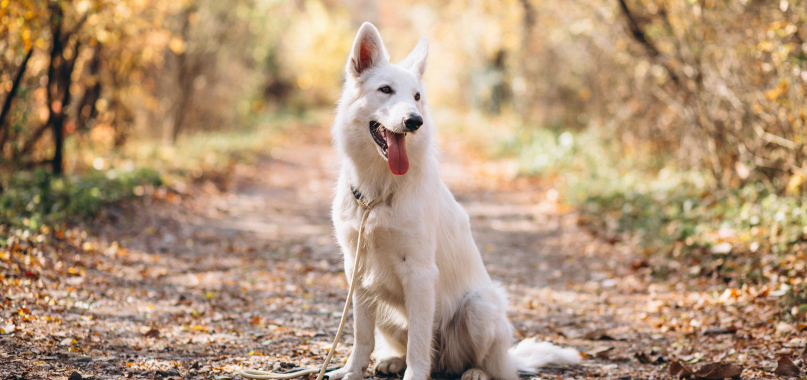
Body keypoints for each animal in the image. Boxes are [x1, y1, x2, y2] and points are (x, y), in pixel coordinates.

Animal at [328, 22, 580, 380]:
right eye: (386, 90)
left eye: (417, 97)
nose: (415, 121)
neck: (379, 192)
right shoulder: (358, 271)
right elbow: (362, 337)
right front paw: (352, 371)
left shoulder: (420, 274)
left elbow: (419, 346)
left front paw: (413, 375)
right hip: (389, 313)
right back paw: (393, 360)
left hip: (479, 307)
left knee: (481, 363)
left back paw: (475, 372)